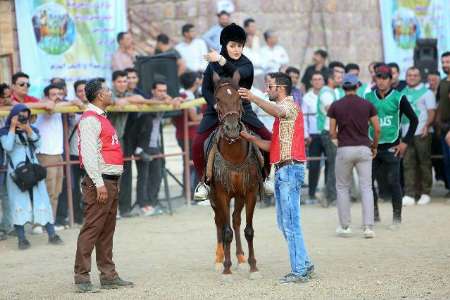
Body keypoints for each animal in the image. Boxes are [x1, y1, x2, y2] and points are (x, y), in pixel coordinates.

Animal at [207, 71, 264, 278]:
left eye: (240, 98)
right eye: (217, 99)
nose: (231, 129)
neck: (234, 155)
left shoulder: (250, 191)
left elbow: (248, 230)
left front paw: (253, 267)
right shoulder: (221, 193)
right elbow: (226, 232)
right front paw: (226, 268)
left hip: (238, 195)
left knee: (235, 220)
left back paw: (240, 258)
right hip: (214, 197)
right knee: (220, 221)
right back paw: (219, 259)